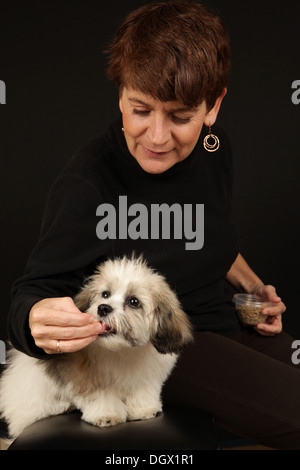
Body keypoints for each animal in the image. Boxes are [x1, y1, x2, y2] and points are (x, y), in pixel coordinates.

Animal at [0, 255, 192, 438]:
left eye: (134, 302)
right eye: (105, 294)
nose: (103, 308)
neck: (121, 349)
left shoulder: (147, 374)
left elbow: (142, 389)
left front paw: (143, 409)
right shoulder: (86, 374)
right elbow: (100, 393)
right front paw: (106, 414)